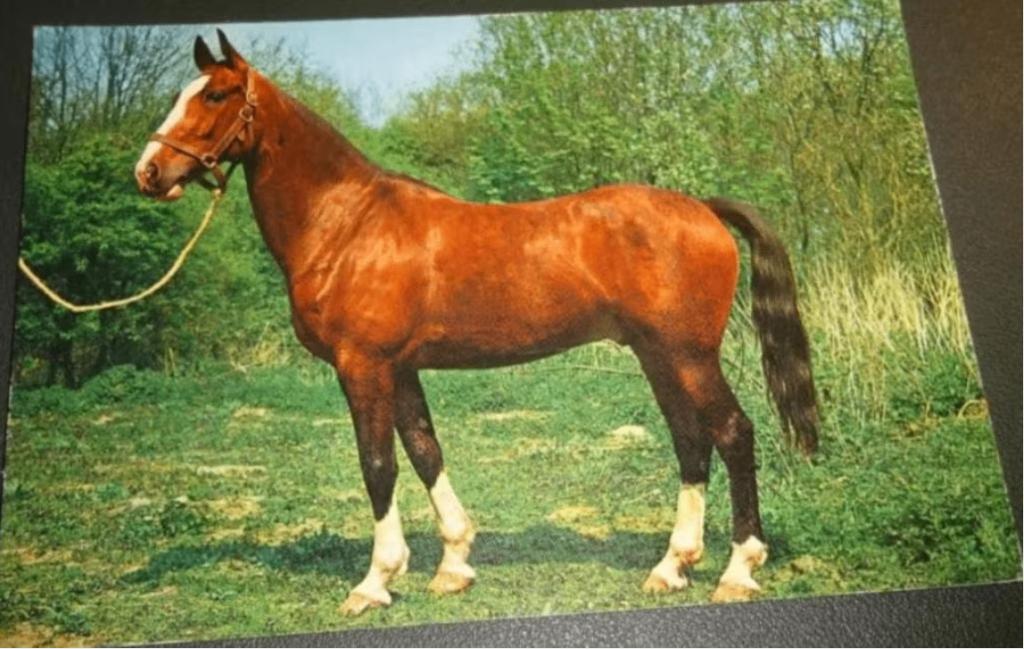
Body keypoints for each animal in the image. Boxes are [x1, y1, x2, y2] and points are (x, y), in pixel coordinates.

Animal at [135, 31, 819, 616]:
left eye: (215, 95)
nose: (148, 172)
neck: (347, 223)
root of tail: (701, 208)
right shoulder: (400, 369)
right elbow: (424, 451)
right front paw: (453, 565)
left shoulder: (363, 367)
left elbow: (377, 464)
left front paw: (374, 582)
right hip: (656, 356)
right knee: (690, 441)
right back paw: (672, 567)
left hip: (688, 355)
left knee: (733, 434)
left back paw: (738, 571)